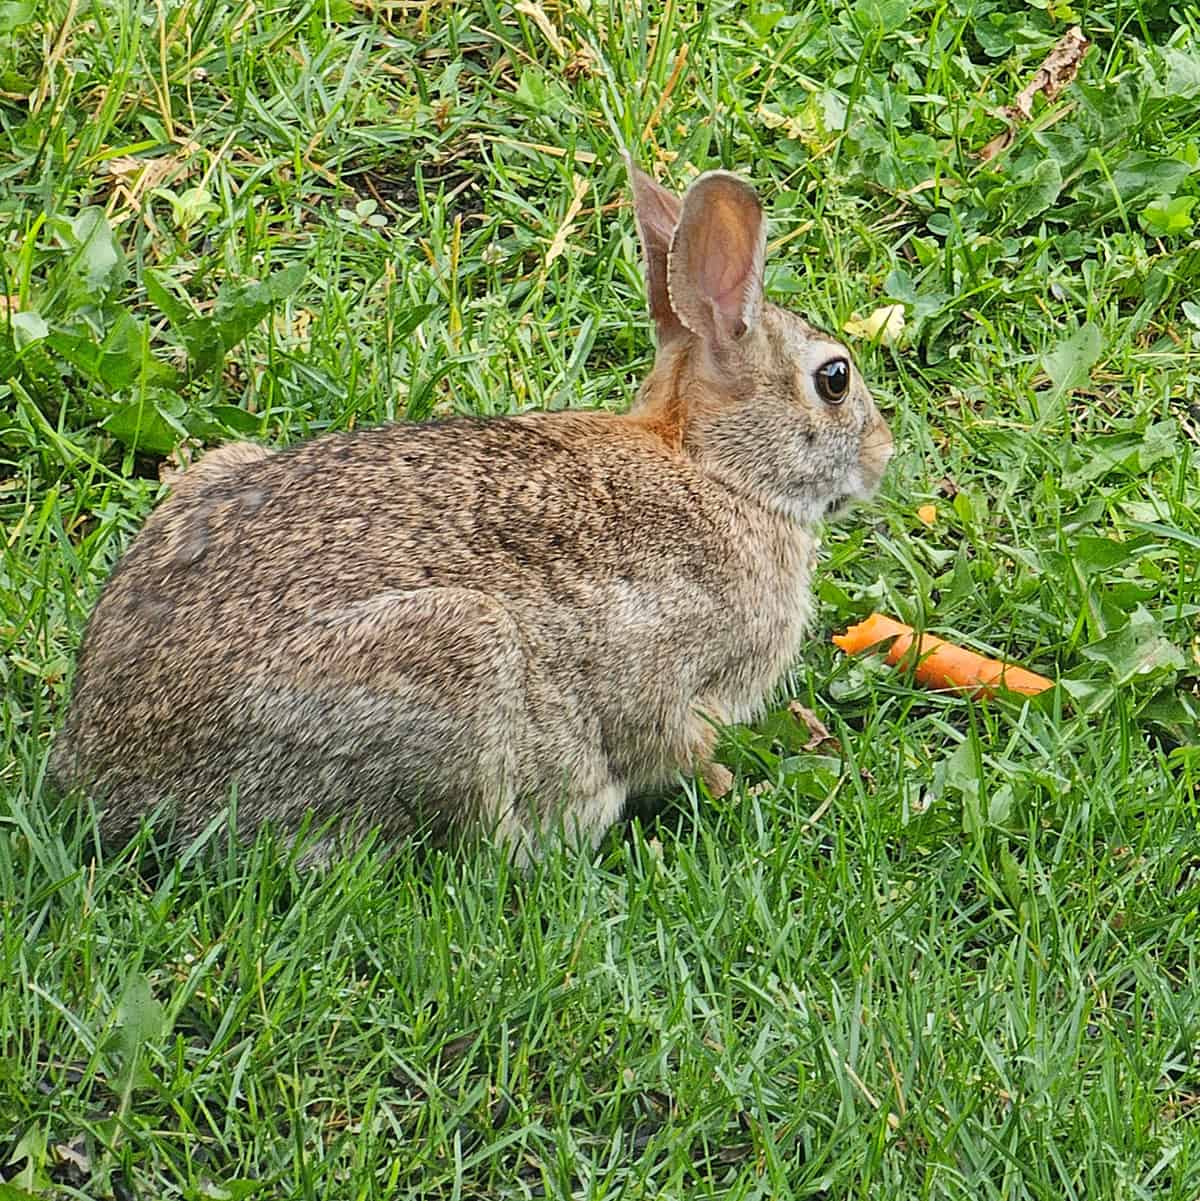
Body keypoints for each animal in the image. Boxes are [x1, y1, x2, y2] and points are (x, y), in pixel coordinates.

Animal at [49, 156, 893, 862]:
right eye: (835, 379)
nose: (884, 453)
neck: (718, 469)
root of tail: (110, 781)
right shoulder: (668, 660)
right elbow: (662, 735)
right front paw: (720, 780)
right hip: (455, 662)